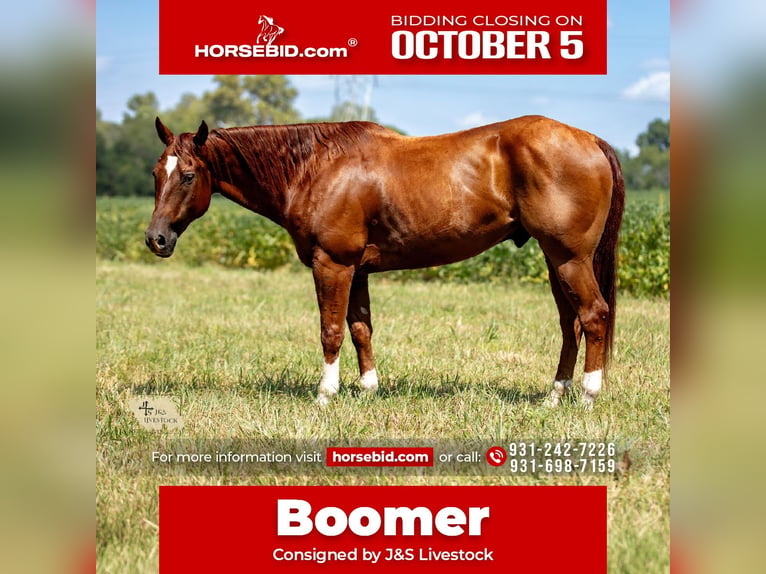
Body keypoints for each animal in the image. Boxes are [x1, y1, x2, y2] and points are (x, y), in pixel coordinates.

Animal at [146, 116, 625, 408]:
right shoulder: (356, 271)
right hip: (555, 261)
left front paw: (325, 394)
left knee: (594, 315)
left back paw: (588, 394)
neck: (316, 168)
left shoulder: (332, 264)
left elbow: (332, 331)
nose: (156, 239)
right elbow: (361, 329)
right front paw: (368, 389)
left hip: (570, 258)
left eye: (188, 175)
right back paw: (555, 395)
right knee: (570, 323)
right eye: (155, 173)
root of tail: (591, 139)